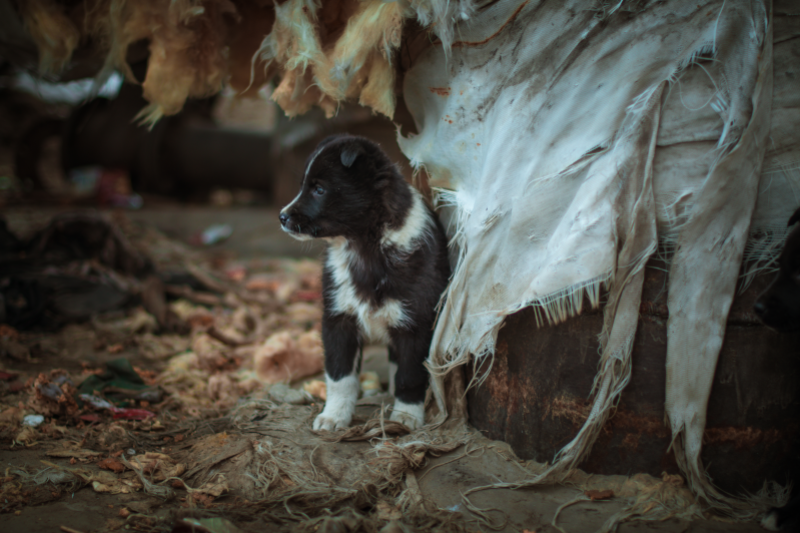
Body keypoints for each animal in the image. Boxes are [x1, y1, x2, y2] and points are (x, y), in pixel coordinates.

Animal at [278, 135, 450, 430]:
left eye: (319, 189)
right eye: (303, 186)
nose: (282, 216)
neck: (364, 247)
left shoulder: (415, 323)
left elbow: (410, 375)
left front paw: (406, 417)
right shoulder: (338, 318)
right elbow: (340, 376)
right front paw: (334, 416)